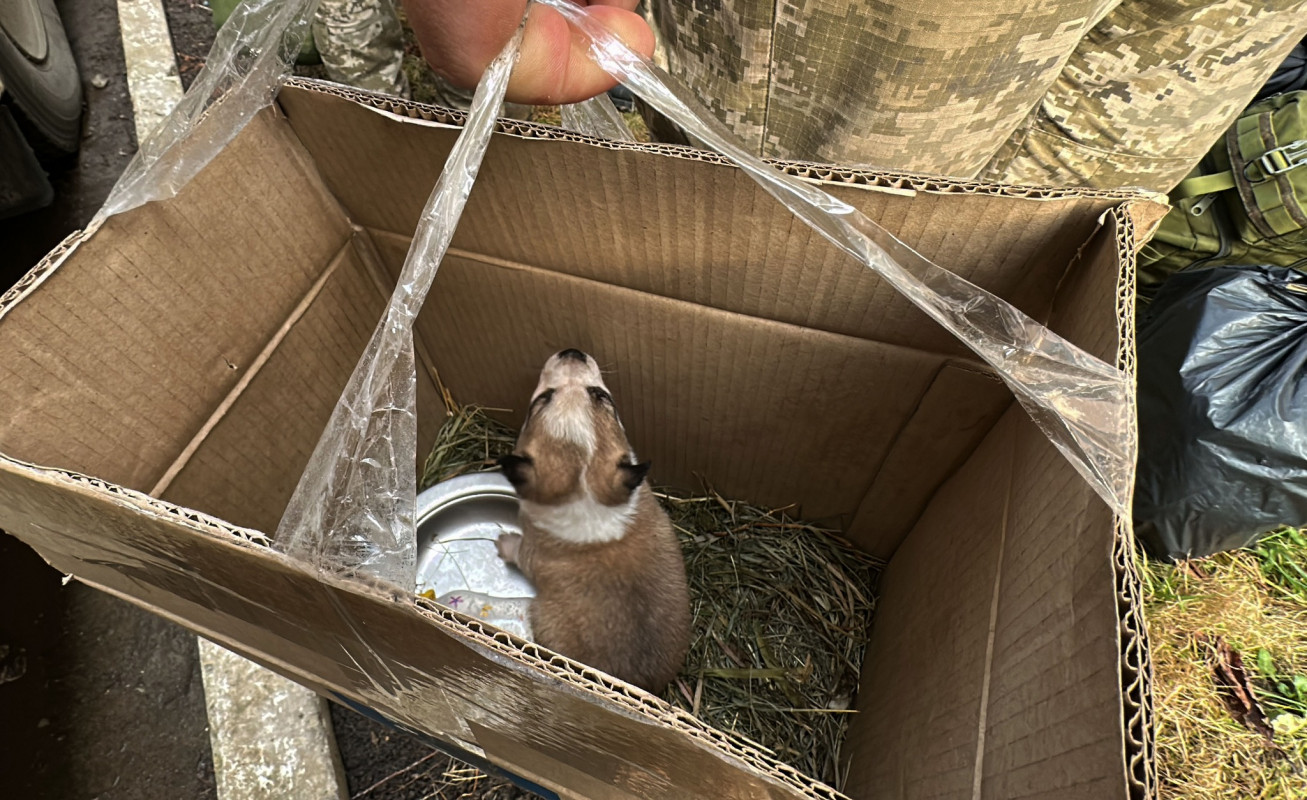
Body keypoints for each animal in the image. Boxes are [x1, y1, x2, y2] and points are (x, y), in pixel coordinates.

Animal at [491, 350, 695, 695]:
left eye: (600, 394)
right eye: (544, 398)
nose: (572, 352)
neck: (587, 493)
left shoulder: (530, 551)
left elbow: (518, 551)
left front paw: (504, 544)